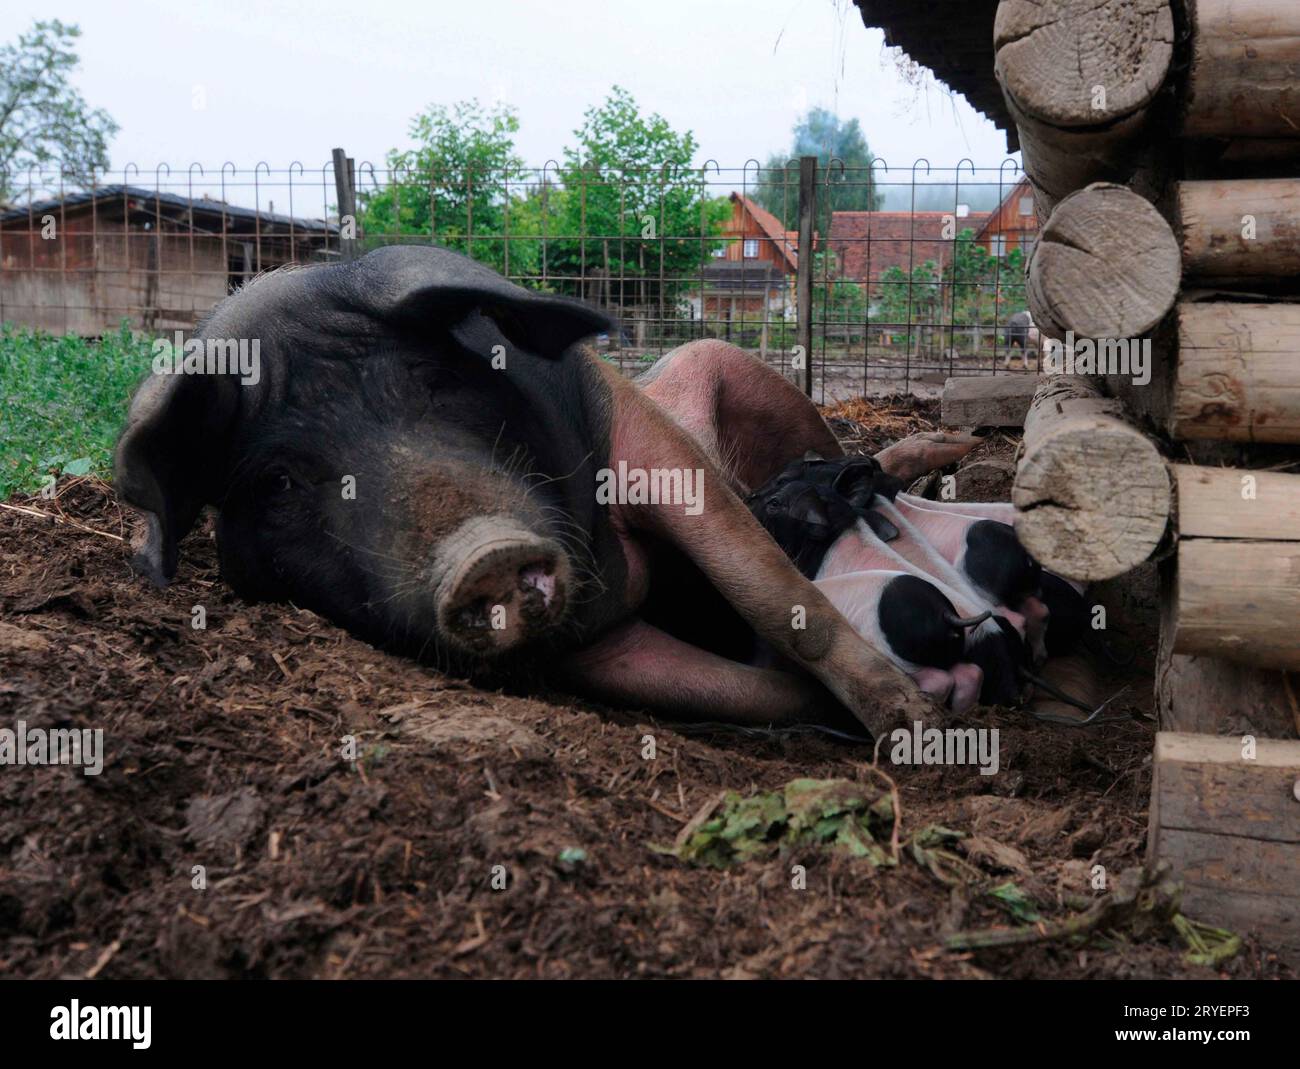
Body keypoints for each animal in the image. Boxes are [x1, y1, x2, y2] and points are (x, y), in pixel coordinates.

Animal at [114, 247, 967, 738]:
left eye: (431, 377)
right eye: (278, 480)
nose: (483, 553)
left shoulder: (640, 433)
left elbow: (772, 591)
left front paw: (917, 721)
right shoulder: (590, 647)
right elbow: (734, 691)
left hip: (745, 378)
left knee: (853, 456)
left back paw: (942, 460)